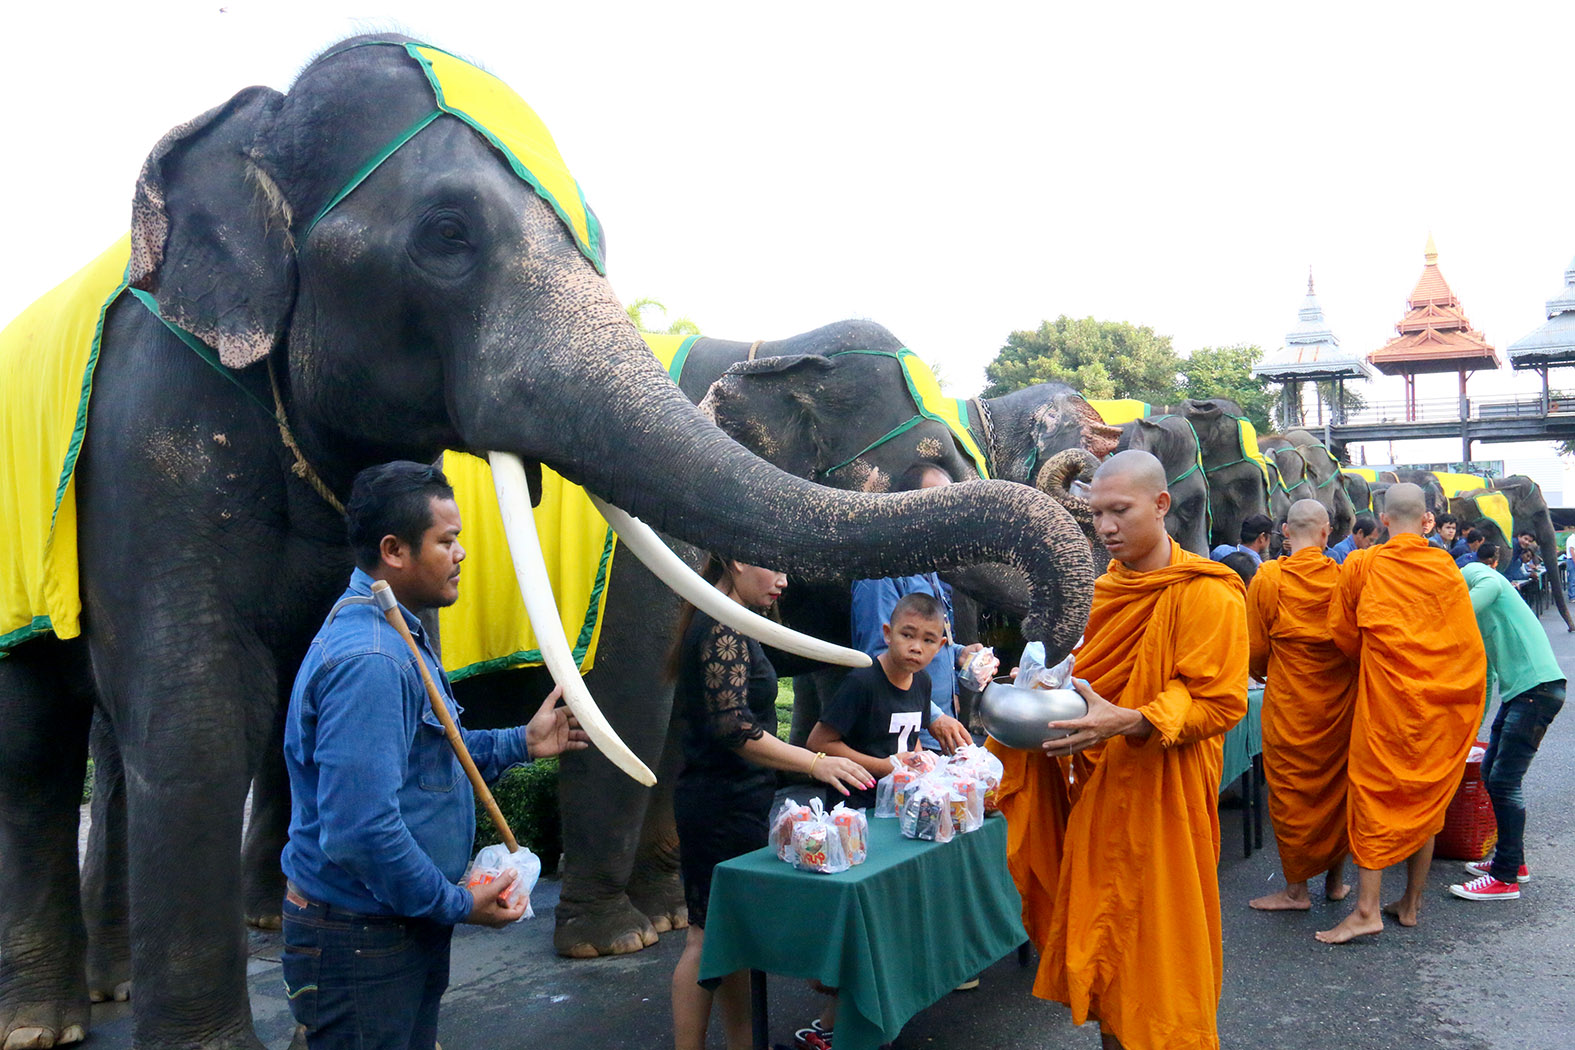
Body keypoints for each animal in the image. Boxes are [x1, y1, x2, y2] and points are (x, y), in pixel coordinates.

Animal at [0, 32, 1096, 1050]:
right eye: (446, 233)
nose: (1021, 655)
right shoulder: (154, 427)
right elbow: (203, 706)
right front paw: (617, 940)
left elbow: (663, 705)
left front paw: (655, 919)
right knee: (48, 748)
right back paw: (61, 1014)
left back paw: (144, 969)